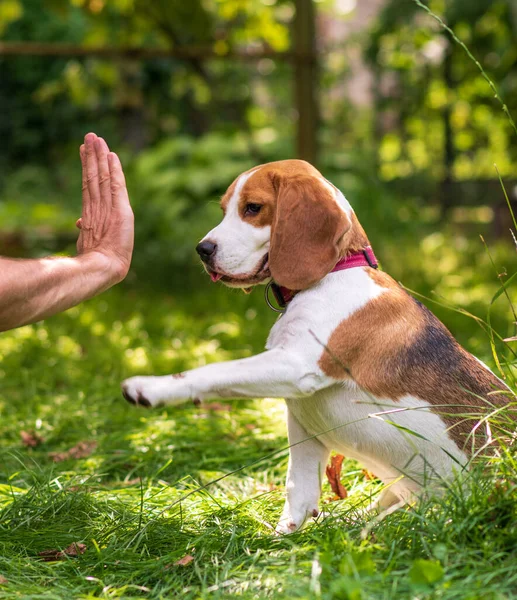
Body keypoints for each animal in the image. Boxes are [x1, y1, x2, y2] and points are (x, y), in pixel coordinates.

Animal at [122, 159, 512, 536]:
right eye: (223, 209)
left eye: (253, 208)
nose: (202, 250)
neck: (335, 272)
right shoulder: (302, 418)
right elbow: (299, 485)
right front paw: (284, 538)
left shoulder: (296, 367)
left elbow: (217, 370)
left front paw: (153, 387)